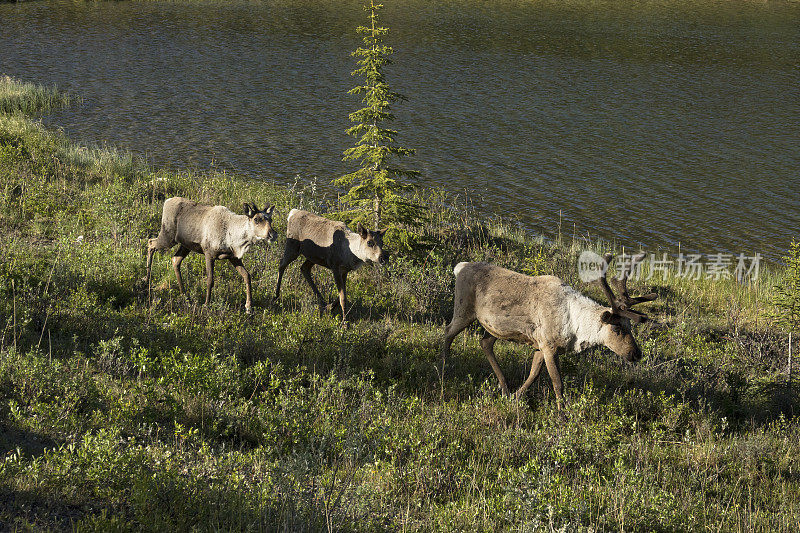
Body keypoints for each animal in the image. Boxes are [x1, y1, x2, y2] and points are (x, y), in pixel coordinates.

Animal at [145, 195, 276, 312]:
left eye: (270, 219)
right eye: (256, 219)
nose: (272, 234)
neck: (233, 238)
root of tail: (167, 201)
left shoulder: (233, 257)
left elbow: (247, 276)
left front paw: (248, 307)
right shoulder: (209, 253)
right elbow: (210, 280)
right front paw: (206, 304)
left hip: (185, 245)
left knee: (175, 260)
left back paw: (185, 295)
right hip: (168, 236)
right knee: (150, 242)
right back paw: (147, 279)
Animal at [444, 254, 656, 408]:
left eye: (630, 326)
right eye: (617, 327)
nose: (636, 353)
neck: (575, 327)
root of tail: (460, 267)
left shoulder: (541, 345)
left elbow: (533, 374)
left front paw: (517, 396)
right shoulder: (549, 346)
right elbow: (557, 383)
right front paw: (563, 415)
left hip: (494, 326)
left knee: (485, 342)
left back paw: (505, 388)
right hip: (464, 309)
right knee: (448, 331)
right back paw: (446, 366)